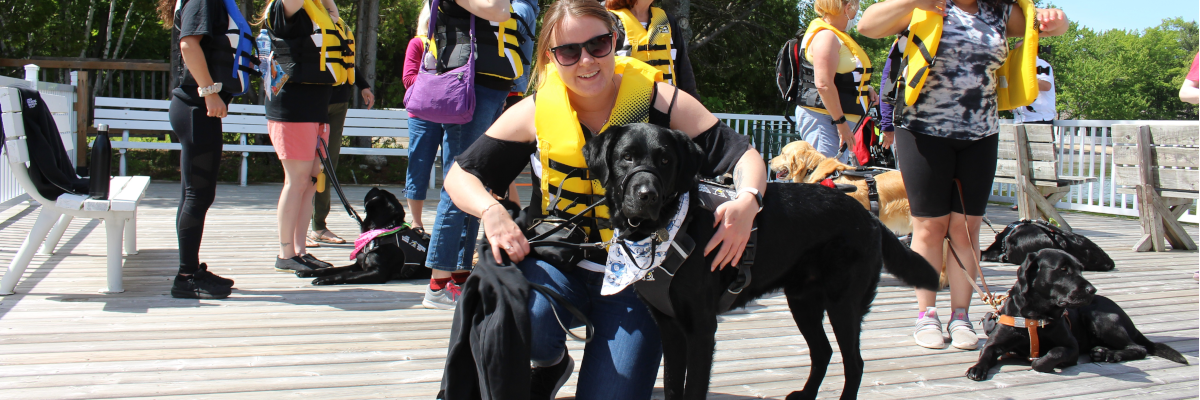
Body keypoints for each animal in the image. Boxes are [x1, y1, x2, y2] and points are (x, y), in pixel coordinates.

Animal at [298, 187, 432, 283]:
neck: (382, 231)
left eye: (377, 191)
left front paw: (324, 279)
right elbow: (333, 269)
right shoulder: (358, 265)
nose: (374, 186)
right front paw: (308, 272)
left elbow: (344, 275)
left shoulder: (377, 273)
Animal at [578, 122, 936, 398]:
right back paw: (805, 394)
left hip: (842, 304)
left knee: (855, 363)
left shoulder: (701, 329)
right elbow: (671, 387)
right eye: (626, 157)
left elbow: (693, 389)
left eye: (665, 160)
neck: (663, 230)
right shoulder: (670, 328)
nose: (646, 195)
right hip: (803, 301)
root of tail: (868, 216)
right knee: (823, 352)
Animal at [964, 246, 1190, 379]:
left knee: (1138, 348)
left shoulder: (1071, 347)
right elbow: (986, 352)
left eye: (1081, 269)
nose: (1092, 290)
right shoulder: (995, 343)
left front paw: (1040, 361)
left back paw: (1111, 354)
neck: (1035, 316)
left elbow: (1051, 355)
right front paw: (977, 368)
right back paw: (1102, 352)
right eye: (1063, 269)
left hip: (1098, 317)